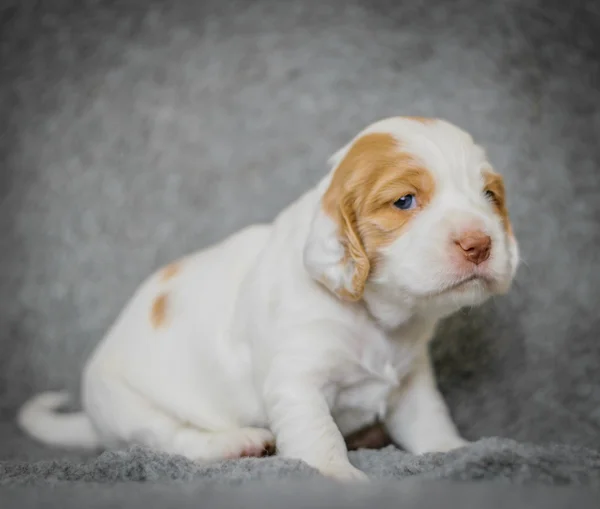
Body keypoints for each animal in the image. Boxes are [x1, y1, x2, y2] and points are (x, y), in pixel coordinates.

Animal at [17, 117, 516, 478]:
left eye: (489, 196)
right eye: (405, 201)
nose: (479, 244)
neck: (378, 318)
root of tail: (92, 417)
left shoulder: (412, 380)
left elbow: (430, 420)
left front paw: (455, 451)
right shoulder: (296, 379)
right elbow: (318, 434)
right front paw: (341, 478)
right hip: (129, 407)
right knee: (170, 440)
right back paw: (236, 442)